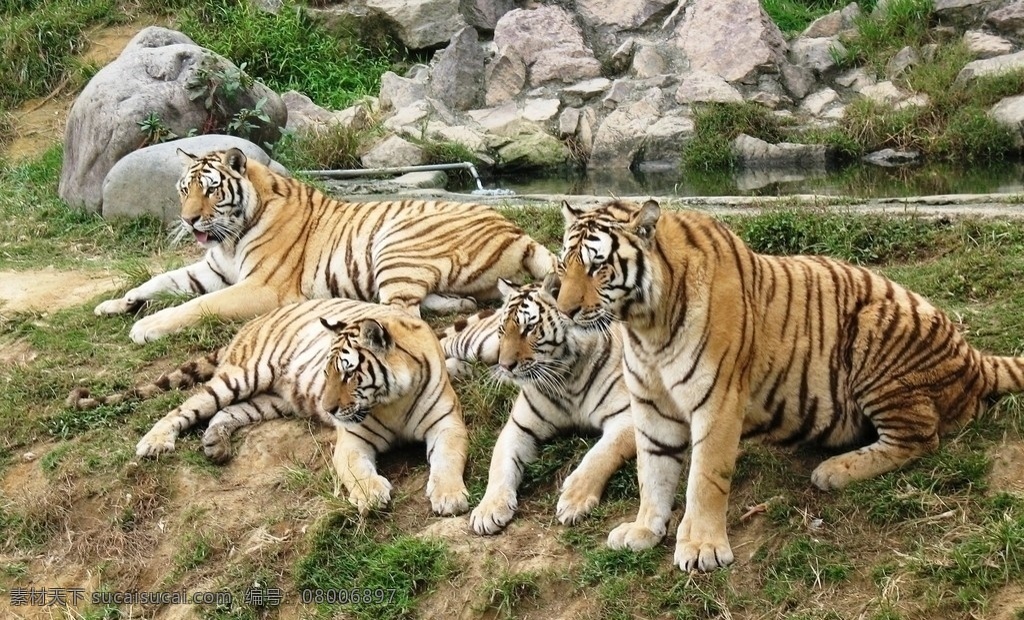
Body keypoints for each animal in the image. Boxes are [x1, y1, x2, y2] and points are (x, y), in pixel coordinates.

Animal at [68, 298, 469, 516]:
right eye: (328, 372)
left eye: (349, 373)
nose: (329, 408)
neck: (392, 401)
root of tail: (253, 321)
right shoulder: (353, 439)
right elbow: (356, 469)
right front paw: (371, 495)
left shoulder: (447, 424)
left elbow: (448, 460)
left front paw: (449, 497)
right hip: (244, 375)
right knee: (188, 405)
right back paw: (154, 442)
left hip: (272, 400)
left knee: (224, 413)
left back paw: (215, 445)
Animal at [94, 148, 556, 344]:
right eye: (183, 190)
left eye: (209, 190)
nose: (190, 220)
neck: (231, 237)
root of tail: (516, 228)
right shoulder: (211, 269)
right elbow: (160, 280)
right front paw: (117, 303)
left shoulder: (261, 287)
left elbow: (196, 305)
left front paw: (147, 325)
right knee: (440, 302)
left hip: (395, 243)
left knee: (403, 314)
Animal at [438, 275, 635, 534]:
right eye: (504, 330)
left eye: (529, 329)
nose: (506, 365)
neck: (566, 377)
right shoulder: (518, 426)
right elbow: (500, 467)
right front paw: (488, 509)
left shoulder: (626, 418)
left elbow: (600, 455)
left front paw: (574, 500)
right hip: (480, 345)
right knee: (441, 342)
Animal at [555, 198, 1024, 572]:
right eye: (564, 266)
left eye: (598, 266)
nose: (565, 310)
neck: (646, 325)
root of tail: (972, 354)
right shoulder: (651, 404)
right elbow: (651, 471)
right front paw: (643, 530)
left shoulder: (718, 399)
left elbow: (705, 477)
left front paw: (702, 548)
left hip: (874, 331)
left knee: (920, 439)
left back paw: (833, 471)